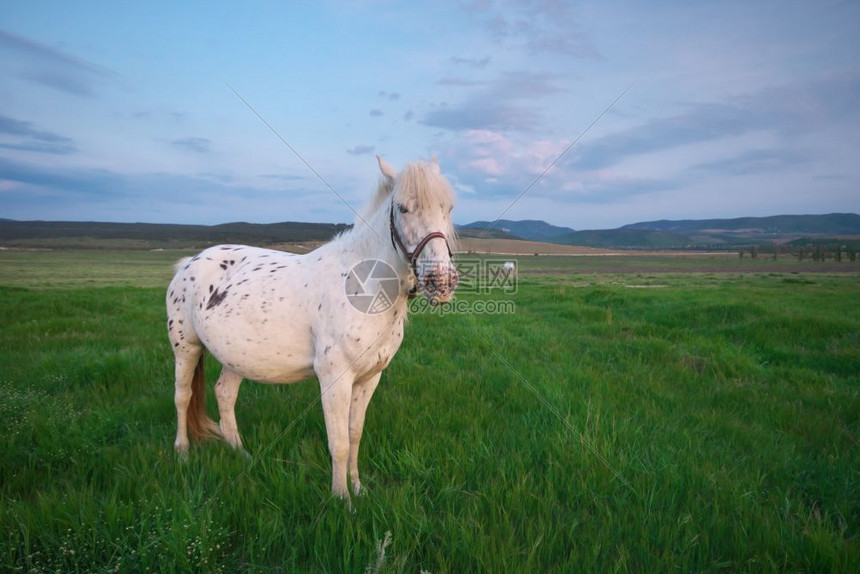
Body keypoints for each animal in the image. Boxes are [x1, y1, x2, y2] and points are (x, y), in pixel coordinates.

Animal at [170, 155, 464, 498]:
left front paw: (358, 488)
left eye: (448, 208)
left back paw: (241, 454)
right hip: (186, 348)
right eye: (403, 208)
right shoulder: (334, 379)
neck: (362, 285)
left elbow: (354, 435)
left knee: (224, 395)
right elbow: (338, 443)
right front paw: (341, 498)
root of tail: (190, 261)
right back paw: (182, 453)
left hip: (235, 356)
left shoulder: (369, 379)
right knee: (183, 396)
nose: (441, 282)